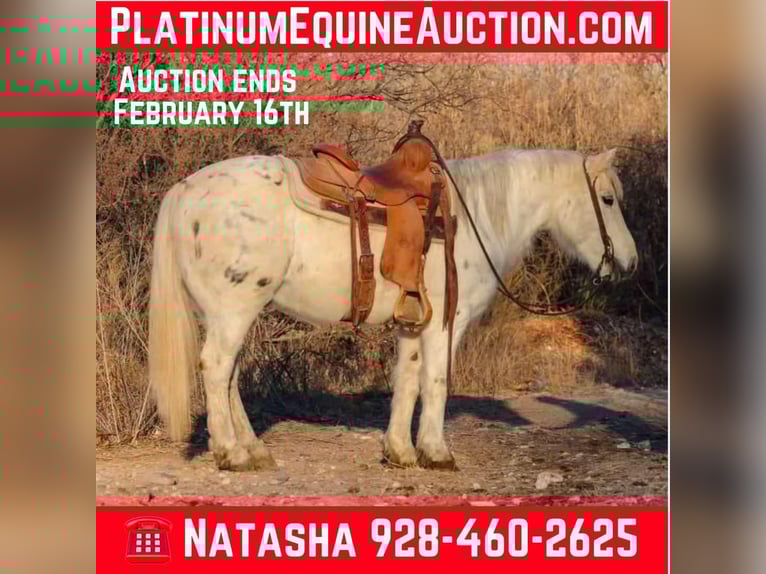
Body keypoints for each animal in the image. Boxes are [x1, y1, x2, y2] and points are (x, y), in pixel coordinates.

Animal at [148, 146, 638, 471]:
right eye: (608, 199)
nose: (630, 262)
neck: (470, 219)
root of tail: (185, 190)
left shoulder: (412, 324)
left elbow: (407, 381)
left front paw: (401, 451)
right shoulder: (446, 323)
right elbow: (435, 382)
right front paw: (437, 453)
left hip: (227, 313)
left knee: (228, 376)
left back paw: (253, 449)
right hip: (235, 309)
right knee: (216, 369)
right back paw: (231, 453)